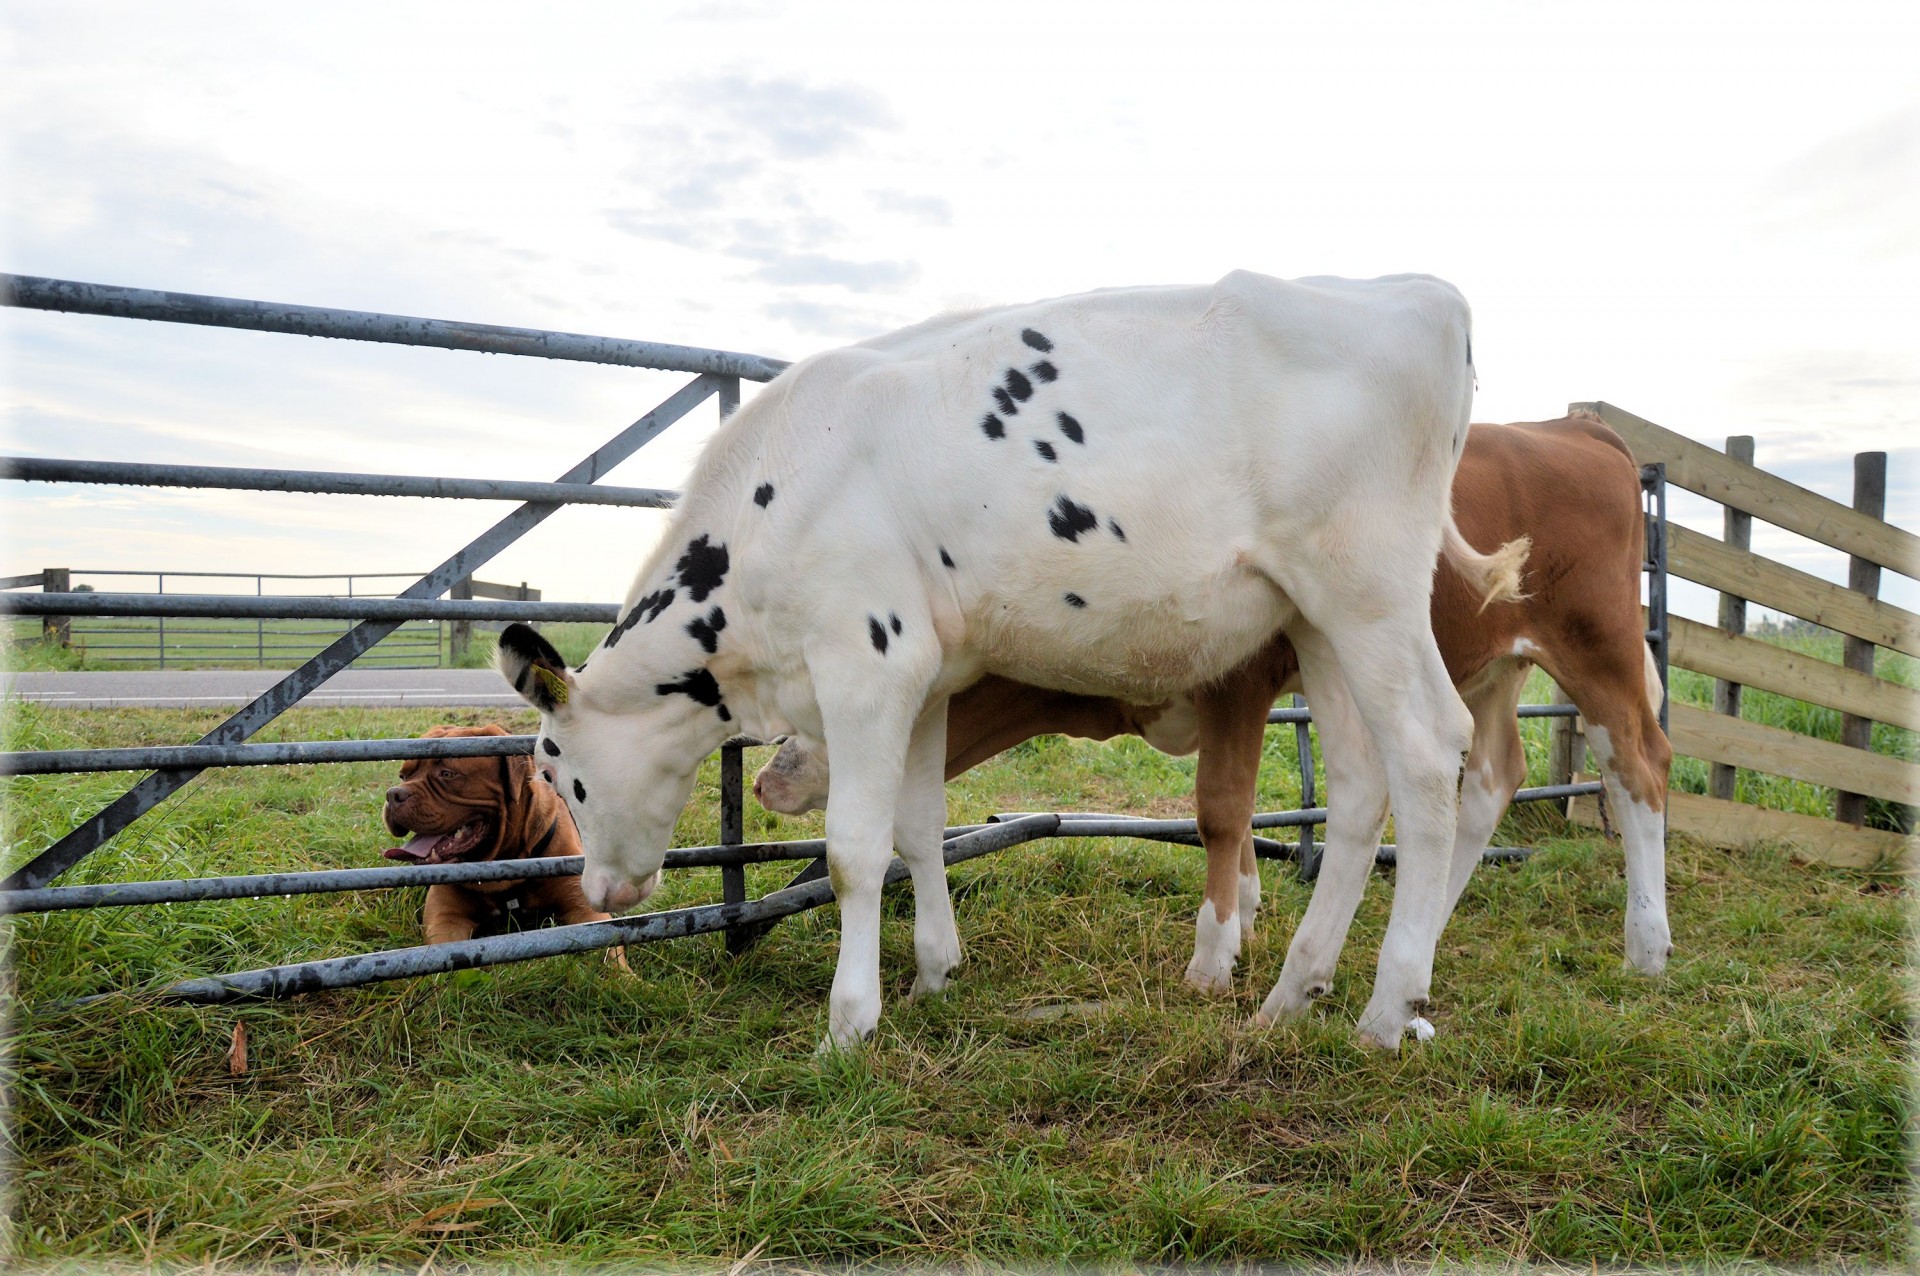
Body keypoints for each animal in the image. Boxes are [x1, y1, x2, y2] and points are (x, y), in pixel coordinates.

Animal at [503, 266, 1520, 1043]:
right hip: (1317, 620)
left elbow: (854, 850)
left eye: (554, 769)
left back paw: (1386, 1012)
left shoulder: (864, 663)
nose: (600, 889)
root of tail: (1419, 291)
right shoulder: (925, 677)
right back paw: (1290, 995)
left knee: (1429, 750)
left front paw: (849, 1022)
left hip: (1369, 591)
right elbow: (920, 827)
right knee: (1357, 785)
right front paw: (933, 974)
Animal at [756, 412, 1674, 1020]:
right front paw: (1253, 915)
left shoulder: (1240, 678)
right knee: (1488, 779)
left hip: (1597, 646)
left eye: (812, 710)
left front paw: (1214, 953)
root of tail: (1576, 426)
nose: (765, 781)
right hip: (1490, 662)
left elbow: (1222, 810)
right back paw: (1430, 933)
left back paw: (1648, 946)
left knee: (1640, 765)